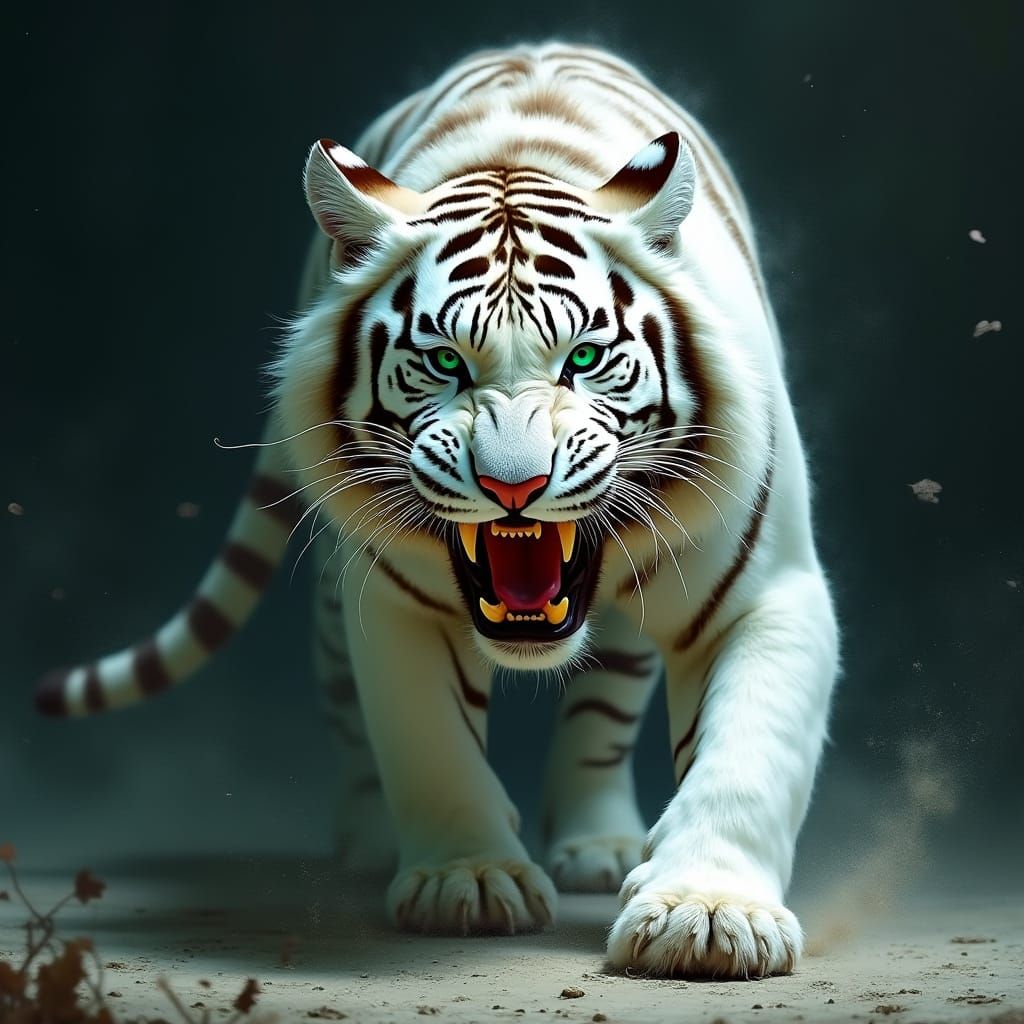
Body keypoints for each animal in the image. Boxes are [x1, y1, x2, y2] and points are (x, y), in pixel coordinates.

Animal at [35, 42, 839, 978]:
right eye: (446, 362)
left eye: (585, 358)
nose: (514, 486)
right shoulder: (390, 602)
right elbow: (430, 743)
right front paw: (471, 880)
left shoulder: (765, 591)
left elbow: (744, 755)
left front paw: (707, 914)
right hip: (333, 604)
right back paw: (373, 841)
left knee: (604, 705)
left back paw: (600, 847)